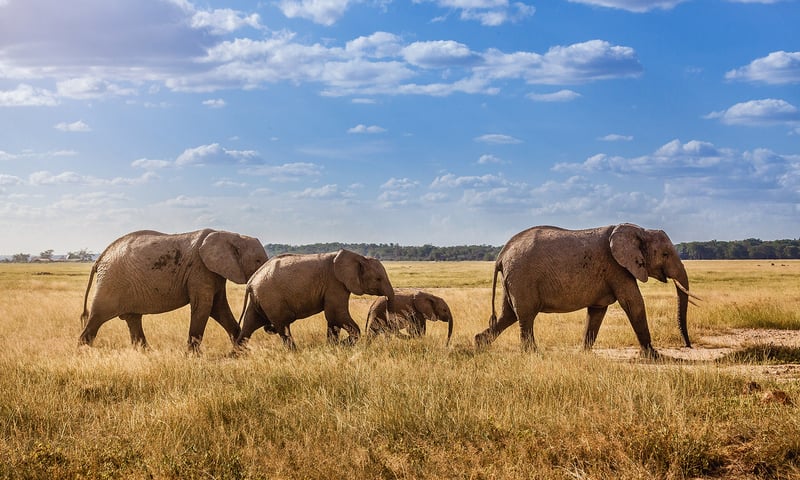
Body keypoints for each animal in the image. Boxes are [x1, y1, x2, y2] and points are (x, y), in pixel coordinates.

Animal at [79, 229, 268, 351]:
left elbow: (219, 308)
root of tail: (100, 258)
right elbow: (203, 307)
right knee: (96, 319)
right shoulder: (200, 270)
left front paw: (243, 351)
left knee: (133, 320)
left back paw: (148, 354)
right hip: (110, 284)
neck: (230, 234)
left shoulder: (214, 273)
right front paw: (192, 357)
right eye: (258, 261)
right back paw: (82, 353)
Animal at [235, 249, 395, 350]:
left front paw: (333, 347)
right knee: (282, 327)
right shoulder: (335, 283)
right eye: (378, 279)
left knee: (249, 326)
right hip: (271, 299)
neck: (359, 257)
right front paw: (341, 345)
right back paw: (294, 352)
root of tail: (251, 281)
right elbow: (335, 314)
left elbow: (333, 319)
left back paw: (236, 356)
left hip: (259, 300)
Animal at [474, 224, 700, 357]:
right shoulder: (617, 268)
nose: (688, 346)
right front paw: (655, 356)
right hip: (522, 277)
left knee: (508, 315)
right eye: (665, 254)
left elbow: (597, 312)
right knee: (526, 316)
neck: (640, 230)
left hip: (514, 279)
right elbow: (634, 304)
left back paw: (479, 344)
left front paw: (583, 353)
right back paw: (533, 354)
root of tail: (501, 255)